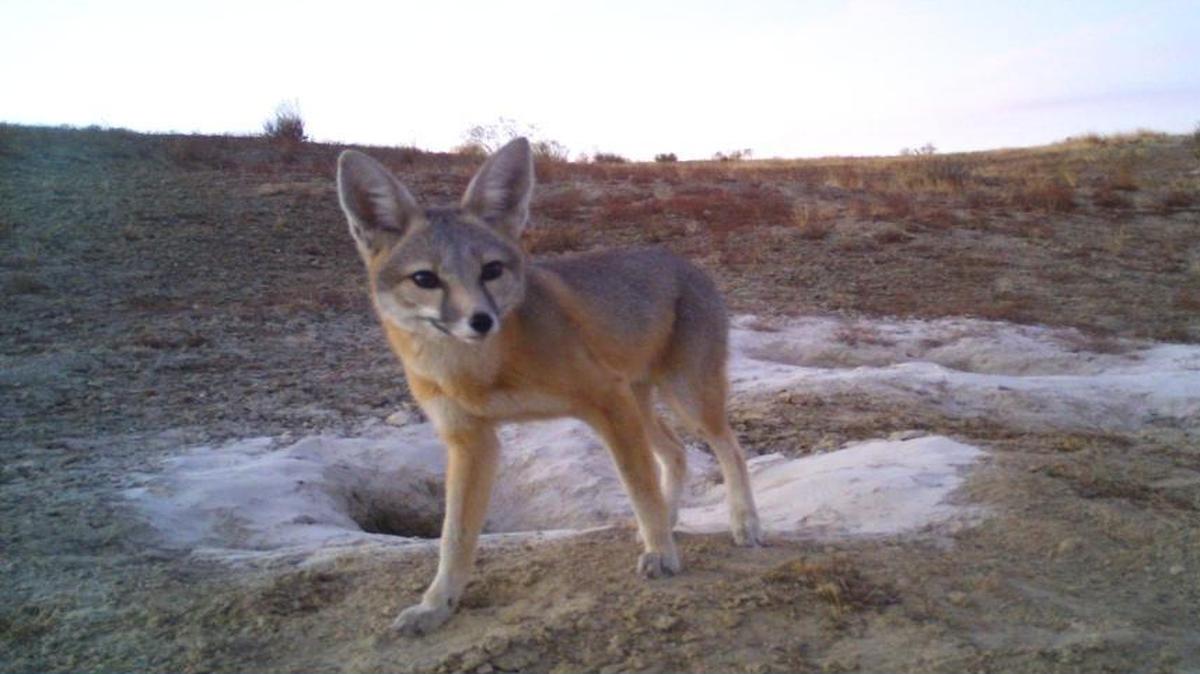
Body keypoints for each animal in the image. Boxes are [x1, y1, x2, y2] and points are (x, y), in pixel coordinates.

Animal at [335, 137, 762, 635]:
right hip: (641, 404)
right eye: (425, 279)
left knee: (730, 449)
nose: (481, 321)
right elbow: (453, 536)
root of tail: (684, 262)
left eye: (491, 270)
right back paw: (672, 519)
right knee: (675, 453)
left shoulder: (605, 400)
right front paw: (437, 605)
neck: (480, 372)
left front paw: (659, 554)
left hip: (685, 397)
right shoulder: (470, 440)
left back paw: (743, 523)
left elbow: (639, 487)